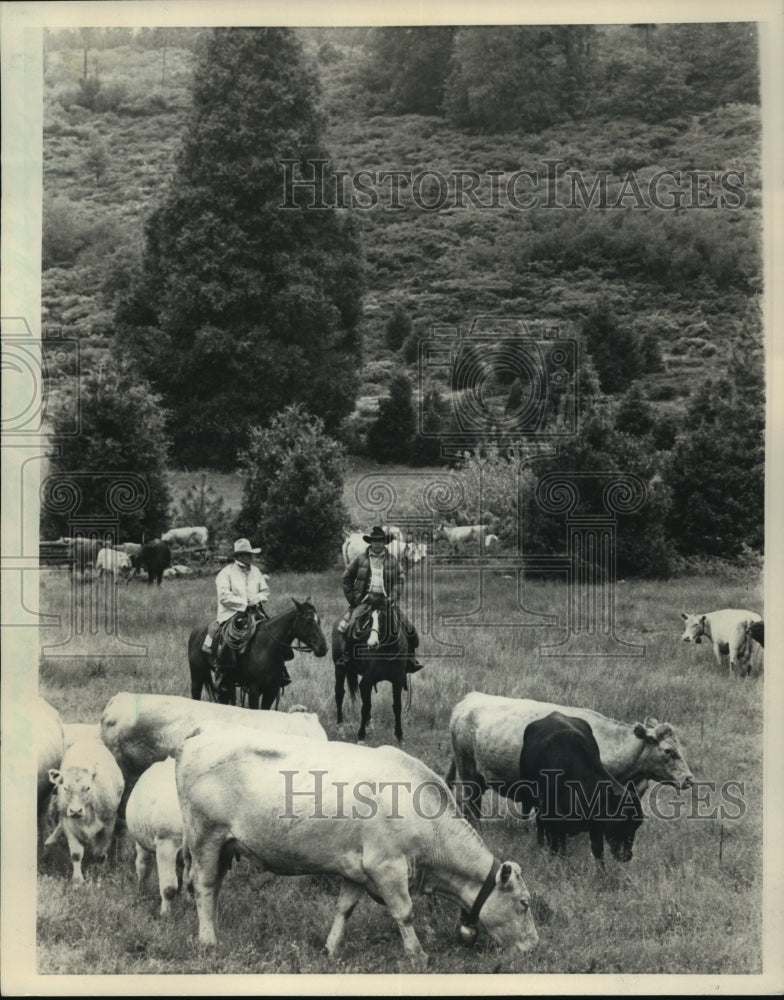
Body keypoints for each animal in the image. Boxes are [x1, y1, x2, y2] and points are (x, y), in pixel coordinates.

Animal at [44, 739, 125, 882]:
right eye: (65, 788)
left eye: (87, 787)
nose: (76, 810)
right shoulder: (68, 824)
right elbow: (76, 854)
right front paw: (77, 880)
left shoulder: (109, 823)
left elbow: (100, 852)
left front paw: (101, 872)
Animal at [126, 758, 184, 917]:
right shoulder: (167, 845)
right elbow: (169, 887)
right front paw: (165, 914)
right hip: (141, 842)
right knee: (143, 866)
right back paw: (142, 893)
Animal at [175, 726, 539, 961]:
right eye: (524, 903)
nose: (534, 947)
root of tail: (197, 737)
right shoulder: (387, 866)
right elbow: (405, 913)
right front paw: (417, 955)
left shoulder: (356, 869)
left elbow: (344, 909)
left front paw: (331, 948)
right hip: (205, 835)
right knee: (204, 886)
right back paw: (208, 940)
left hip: (223, 845)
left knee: (214, 887)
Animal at [519, 712, 644, 863]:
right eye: (621, 823)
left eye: (637, 825)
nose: (627, 856)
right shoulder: (552, 822)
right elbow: (555, 849)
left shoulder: (596, 827)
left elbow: (598, 852)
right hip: (530, 798)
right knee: (538, 823)